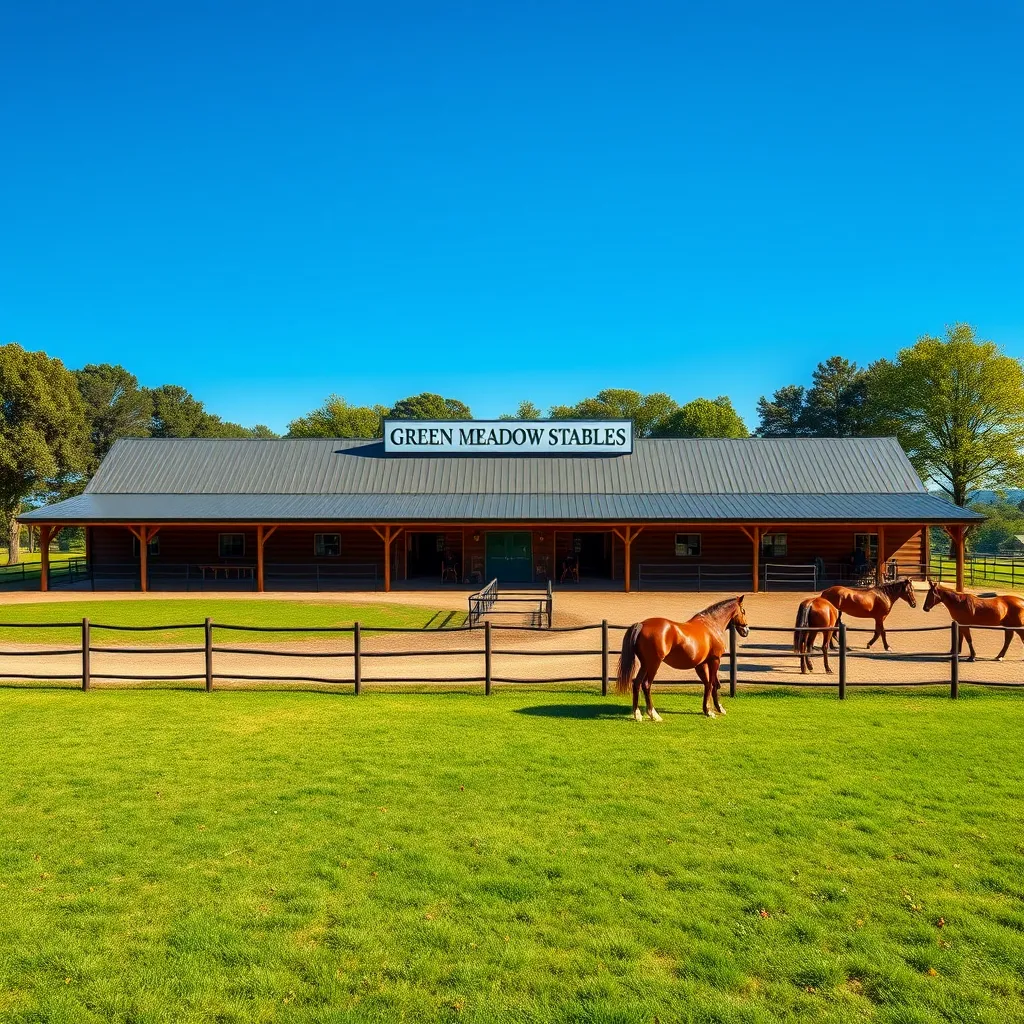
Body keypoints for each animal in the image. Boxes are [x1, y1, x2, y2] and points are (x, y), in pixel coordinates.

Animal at [615, 596, 750, 720]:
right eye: (743, 611)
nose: (746, 630)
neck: (711, 625)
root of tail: (642, 624)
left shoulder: (701, 664)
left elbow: (708, 684)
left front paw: (708, 709)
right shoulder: (714, 660)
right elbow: (713, 684)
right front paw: (714, 710)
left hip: (645, 664)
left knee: (637, 683)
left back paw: (637, 714)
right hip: (654, 663)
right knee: (646, 685)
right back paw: (654, 715)